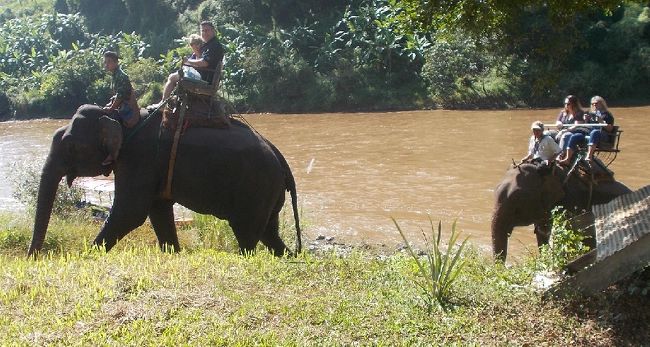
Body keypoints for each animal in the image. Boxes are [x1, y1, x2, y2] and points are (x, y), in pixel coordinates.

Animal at [25, 104, 298, 256]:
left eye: (71, 146)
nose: (33, 258)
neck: (118, 117)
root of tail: (280, 158)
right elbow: (157, 211)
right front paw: (173, 253)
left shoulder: (139, 158)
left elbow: (130, 213)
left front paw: (87, 256)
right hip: (266, 192)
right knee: (269, 233)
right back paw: (287, 256)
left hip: (256, 188)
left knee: (247, 234)